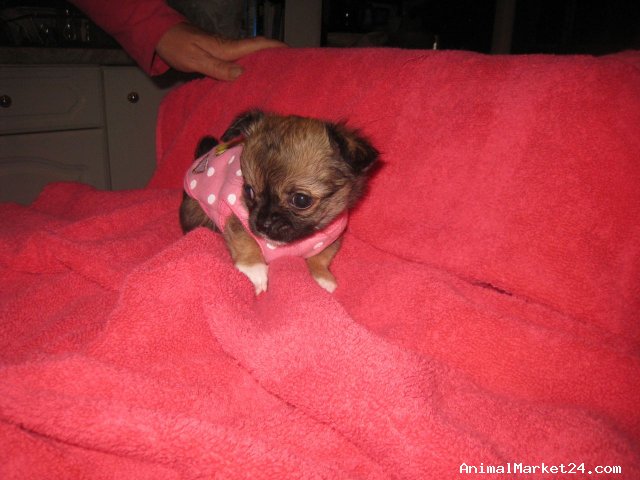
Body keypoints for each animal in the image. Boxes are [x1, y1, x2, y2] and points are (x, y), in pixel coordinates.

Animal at [180, 109, 379, 294]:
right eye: (249, 190)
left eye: (301, 200)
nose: (263, 223)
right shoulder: (233, 215)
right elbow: (244, 238)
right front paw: (254, 269)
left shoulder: (332, 237)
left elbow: (322, 256)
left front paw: (321, 276)